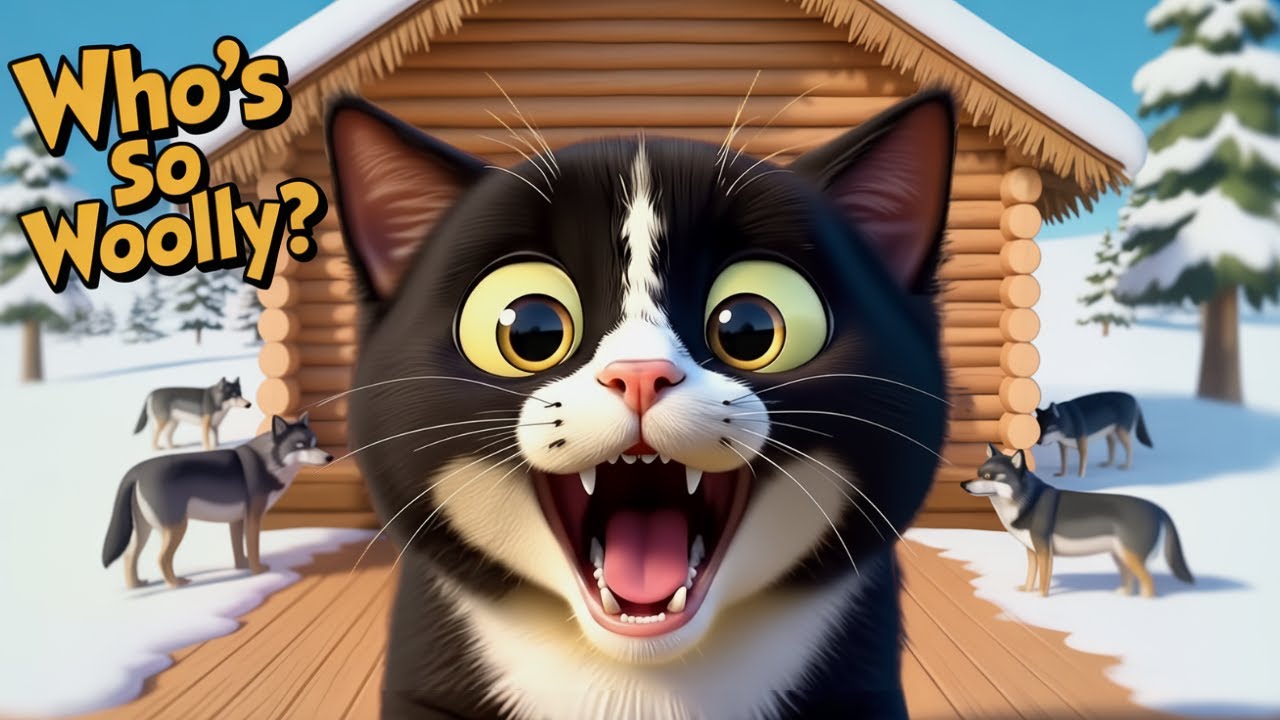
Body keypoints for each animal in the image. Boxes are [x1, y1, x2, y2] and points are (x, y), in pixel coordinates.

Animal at [103, 413, 331, 589]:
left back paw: (136, 585)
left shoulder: (237, 520)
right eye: (300, 445)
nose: (329, 457)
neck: (268, 462)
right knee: (161, 559)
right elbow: (253, 547)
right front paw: (258, 572)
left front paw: (243, 567)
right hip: (175, 528)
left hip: (145, 530)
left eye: (315, 443)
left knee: (129, 556)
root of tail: (137, 470)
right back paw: (176, 584)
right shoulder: (253, 518)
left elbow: (239, 549)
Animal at [961, 443, 1193, 598]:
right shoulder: (1032, 551)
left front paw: (1039, 600)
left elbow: (1043, 581)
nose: (963, 484)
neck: (1027, 502)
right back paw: (1122, 596)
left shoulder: (1044, 551)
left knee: (1148, 582)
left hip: (1131, 556)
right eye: (978, 473)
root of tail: (1157, 508)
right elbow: (1030, 576)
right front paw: (1026, 592)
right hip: (1120, 556)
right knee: (1130, 580)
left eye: (989, 476)